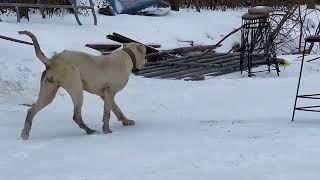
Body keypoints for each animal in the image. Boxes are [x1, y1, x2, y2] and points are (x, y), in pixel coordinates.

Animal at [18, 31, 146, 140]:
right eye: (145, 55)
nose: (145, 62)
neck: (127, 55)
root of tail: (52, 61)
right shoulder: (110, 93)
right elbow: (107, 113)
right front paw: (107, 131)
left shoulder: (105, 95)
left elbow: (117, 109)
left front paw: (126, 121)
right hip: (77, 89)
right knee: (76, 115)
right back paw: (90, 131)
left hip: (48, 92)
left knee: (31, 110)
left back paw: (25, 134)